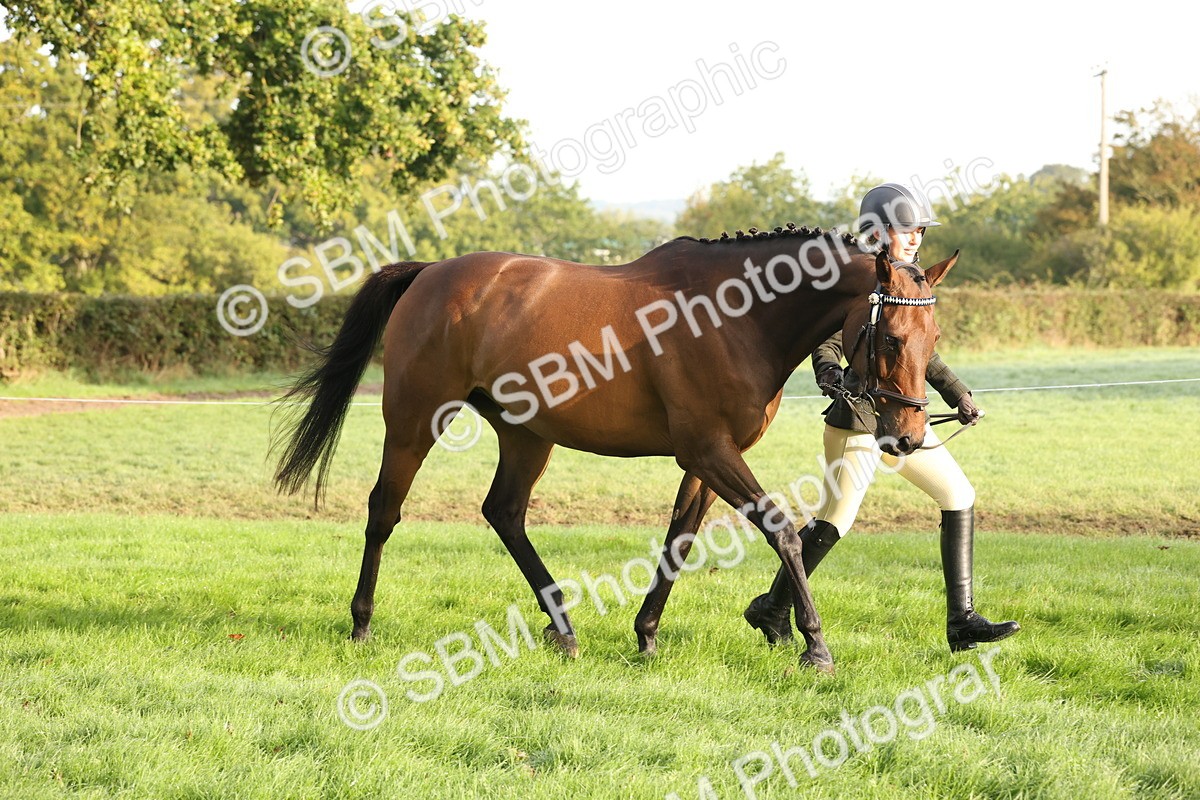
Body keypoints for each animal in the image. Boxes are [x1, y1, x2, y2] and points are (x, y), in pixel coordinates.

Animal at [272, 224, 957, 673]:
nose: (908, 436)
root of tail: (429, 273)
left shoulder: (705, 459)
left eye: (934, 336)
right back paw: (361, 622)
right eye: (892, 338)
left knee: (505, 513)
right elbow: (783, 532)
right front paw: (812, 643)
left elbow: (680, 539)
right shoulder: (710, 451)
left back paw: (564, 629)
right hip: (415, 421)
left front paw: (647, 635)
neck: (733, 316)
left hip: (526, 434)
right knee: (384, 509)